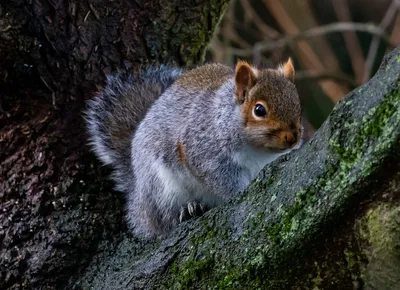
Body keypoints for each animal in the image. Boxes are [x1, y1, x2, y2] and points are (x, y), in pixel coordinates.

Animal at [84, 59, 304, 238]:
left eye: (298, 105)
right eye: (259, 110)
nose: (293, 138)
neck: (259, 152)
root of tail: (137, 199)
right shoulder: (204, 150)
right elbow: (222, 178)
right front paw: (240, 191)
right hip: (162, 189)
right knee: (164, 220)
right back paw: (188, 209)